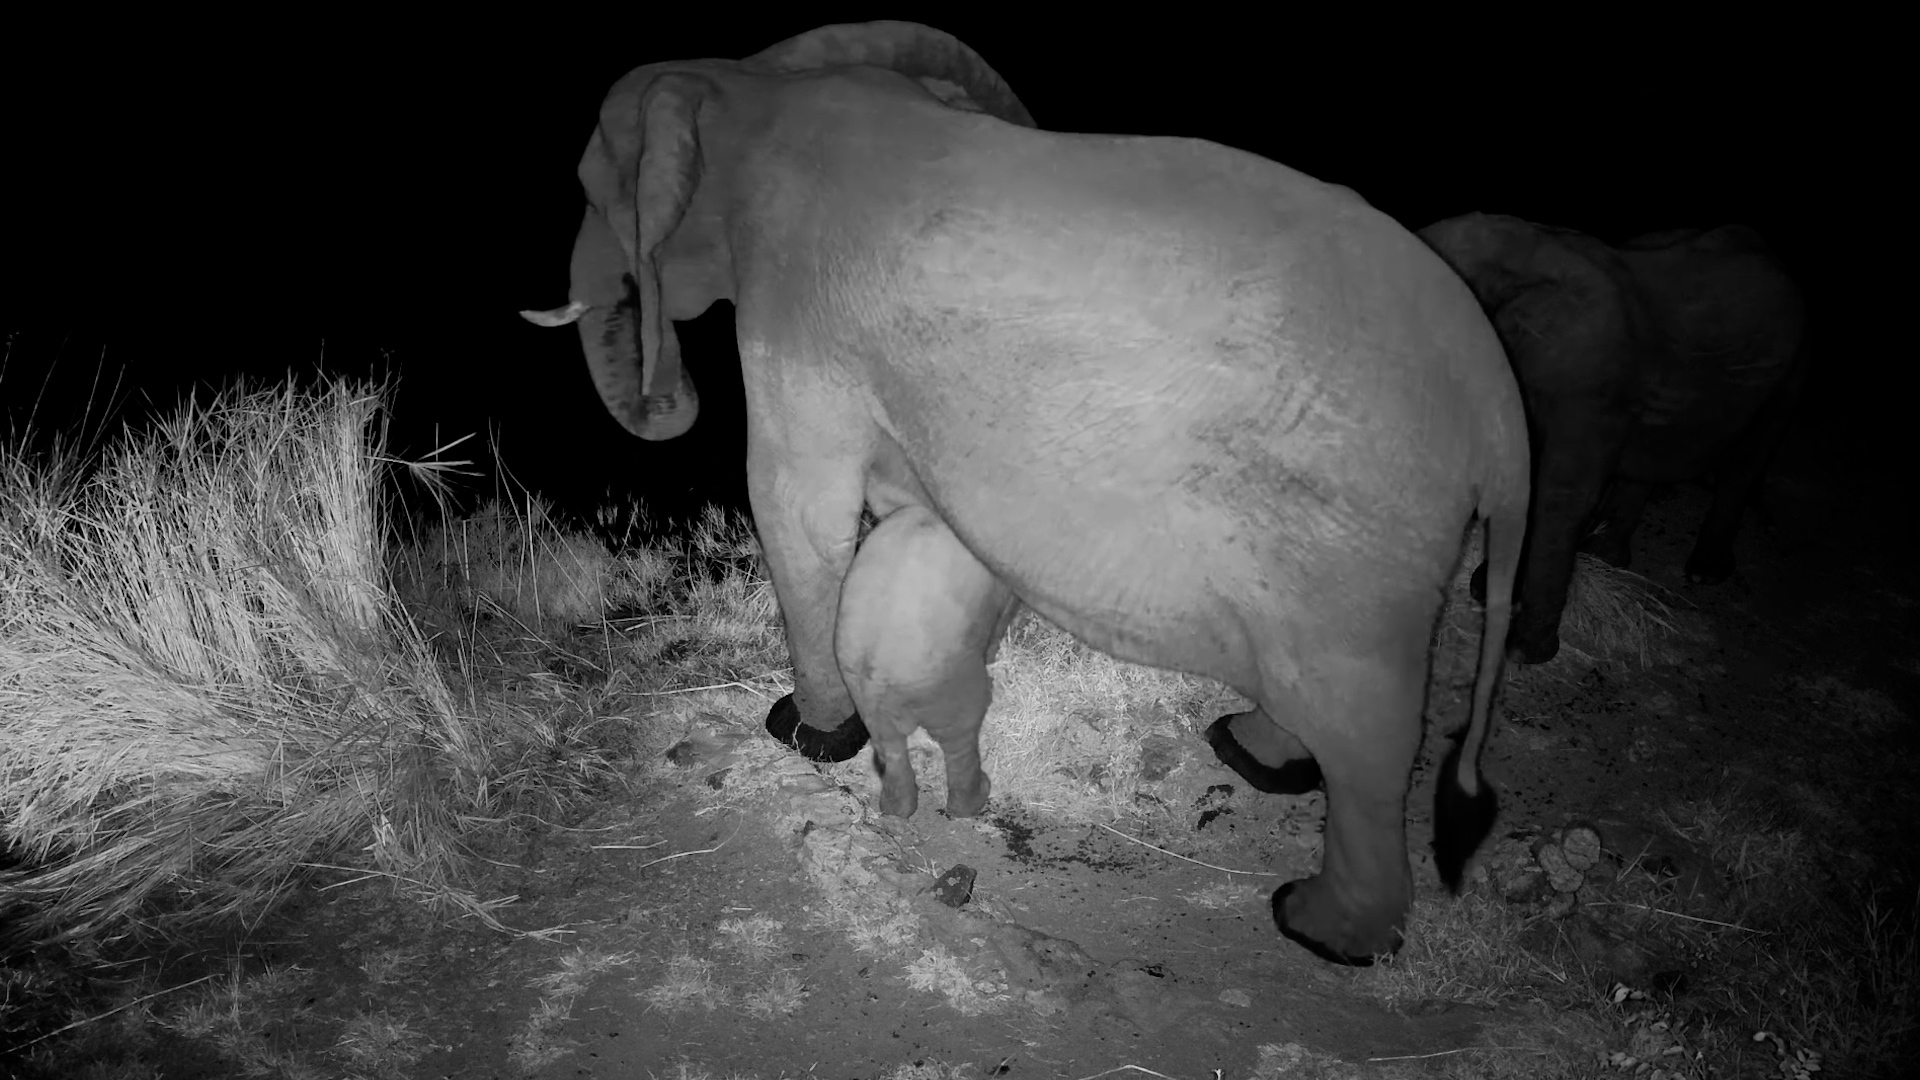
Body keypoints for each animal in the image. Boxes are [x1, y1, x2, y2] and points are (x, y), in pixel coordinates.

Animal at [522, 20, 1530, 965]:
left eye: (590, 190)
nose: (666, 392)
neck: (749, 87)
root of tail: (1504, 420)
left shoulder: (795, 303)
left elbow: (797, 510)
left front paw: (803, 735)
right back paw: (1248, 753)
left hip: (1347, 548)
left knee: (1366, 735)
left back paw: (1318, 928)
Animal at [1418, 213, 1809, 664]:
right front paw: (1487, 592)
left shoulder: (1587, 389)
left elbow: (1560, 496)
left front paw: (1520, 650)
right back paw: (1604, 552)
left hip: (1789, 377)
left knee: (1745, 462)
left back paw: (1702, 574)